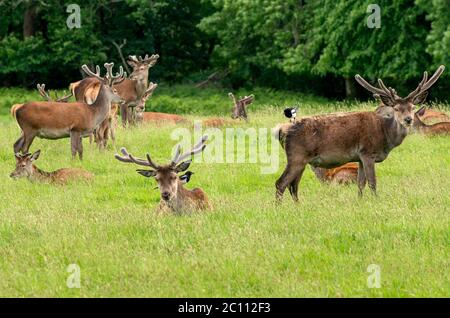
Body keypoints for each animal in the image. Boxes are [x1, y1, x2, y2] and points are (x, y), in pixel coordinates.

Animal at [272, 66, 444, 202]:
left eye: (412, 107)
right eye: (396, 109)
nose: (408, 119)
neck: (386, 137)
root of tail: (281, 130)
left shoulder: (359, 157)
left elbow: (361, 183)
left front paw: (360, 201)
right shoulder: (368, 152)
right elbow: (372, 182)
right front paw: (376, 201)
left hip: (302, 160)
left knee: (293, 186)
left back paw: (298, 206)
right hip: (297, 156)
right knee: (281, 183)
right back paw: (279, 209)